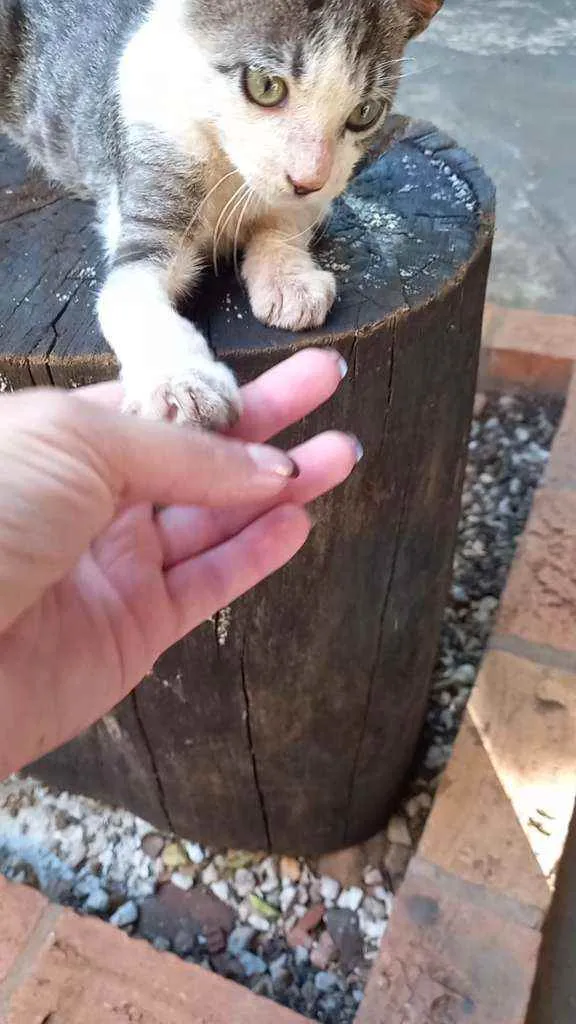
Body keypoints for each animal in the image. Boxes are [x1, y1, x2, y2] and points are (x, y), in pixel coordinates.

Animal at [0, 0, 440, 423]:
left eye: (365, 113)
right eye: (265, 86)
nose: (306, 179)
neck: (230, 166)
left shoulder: (319, 197)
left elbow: (285, 220)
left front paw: (289, 281)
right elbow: (125, 297)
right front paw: (180, 383)